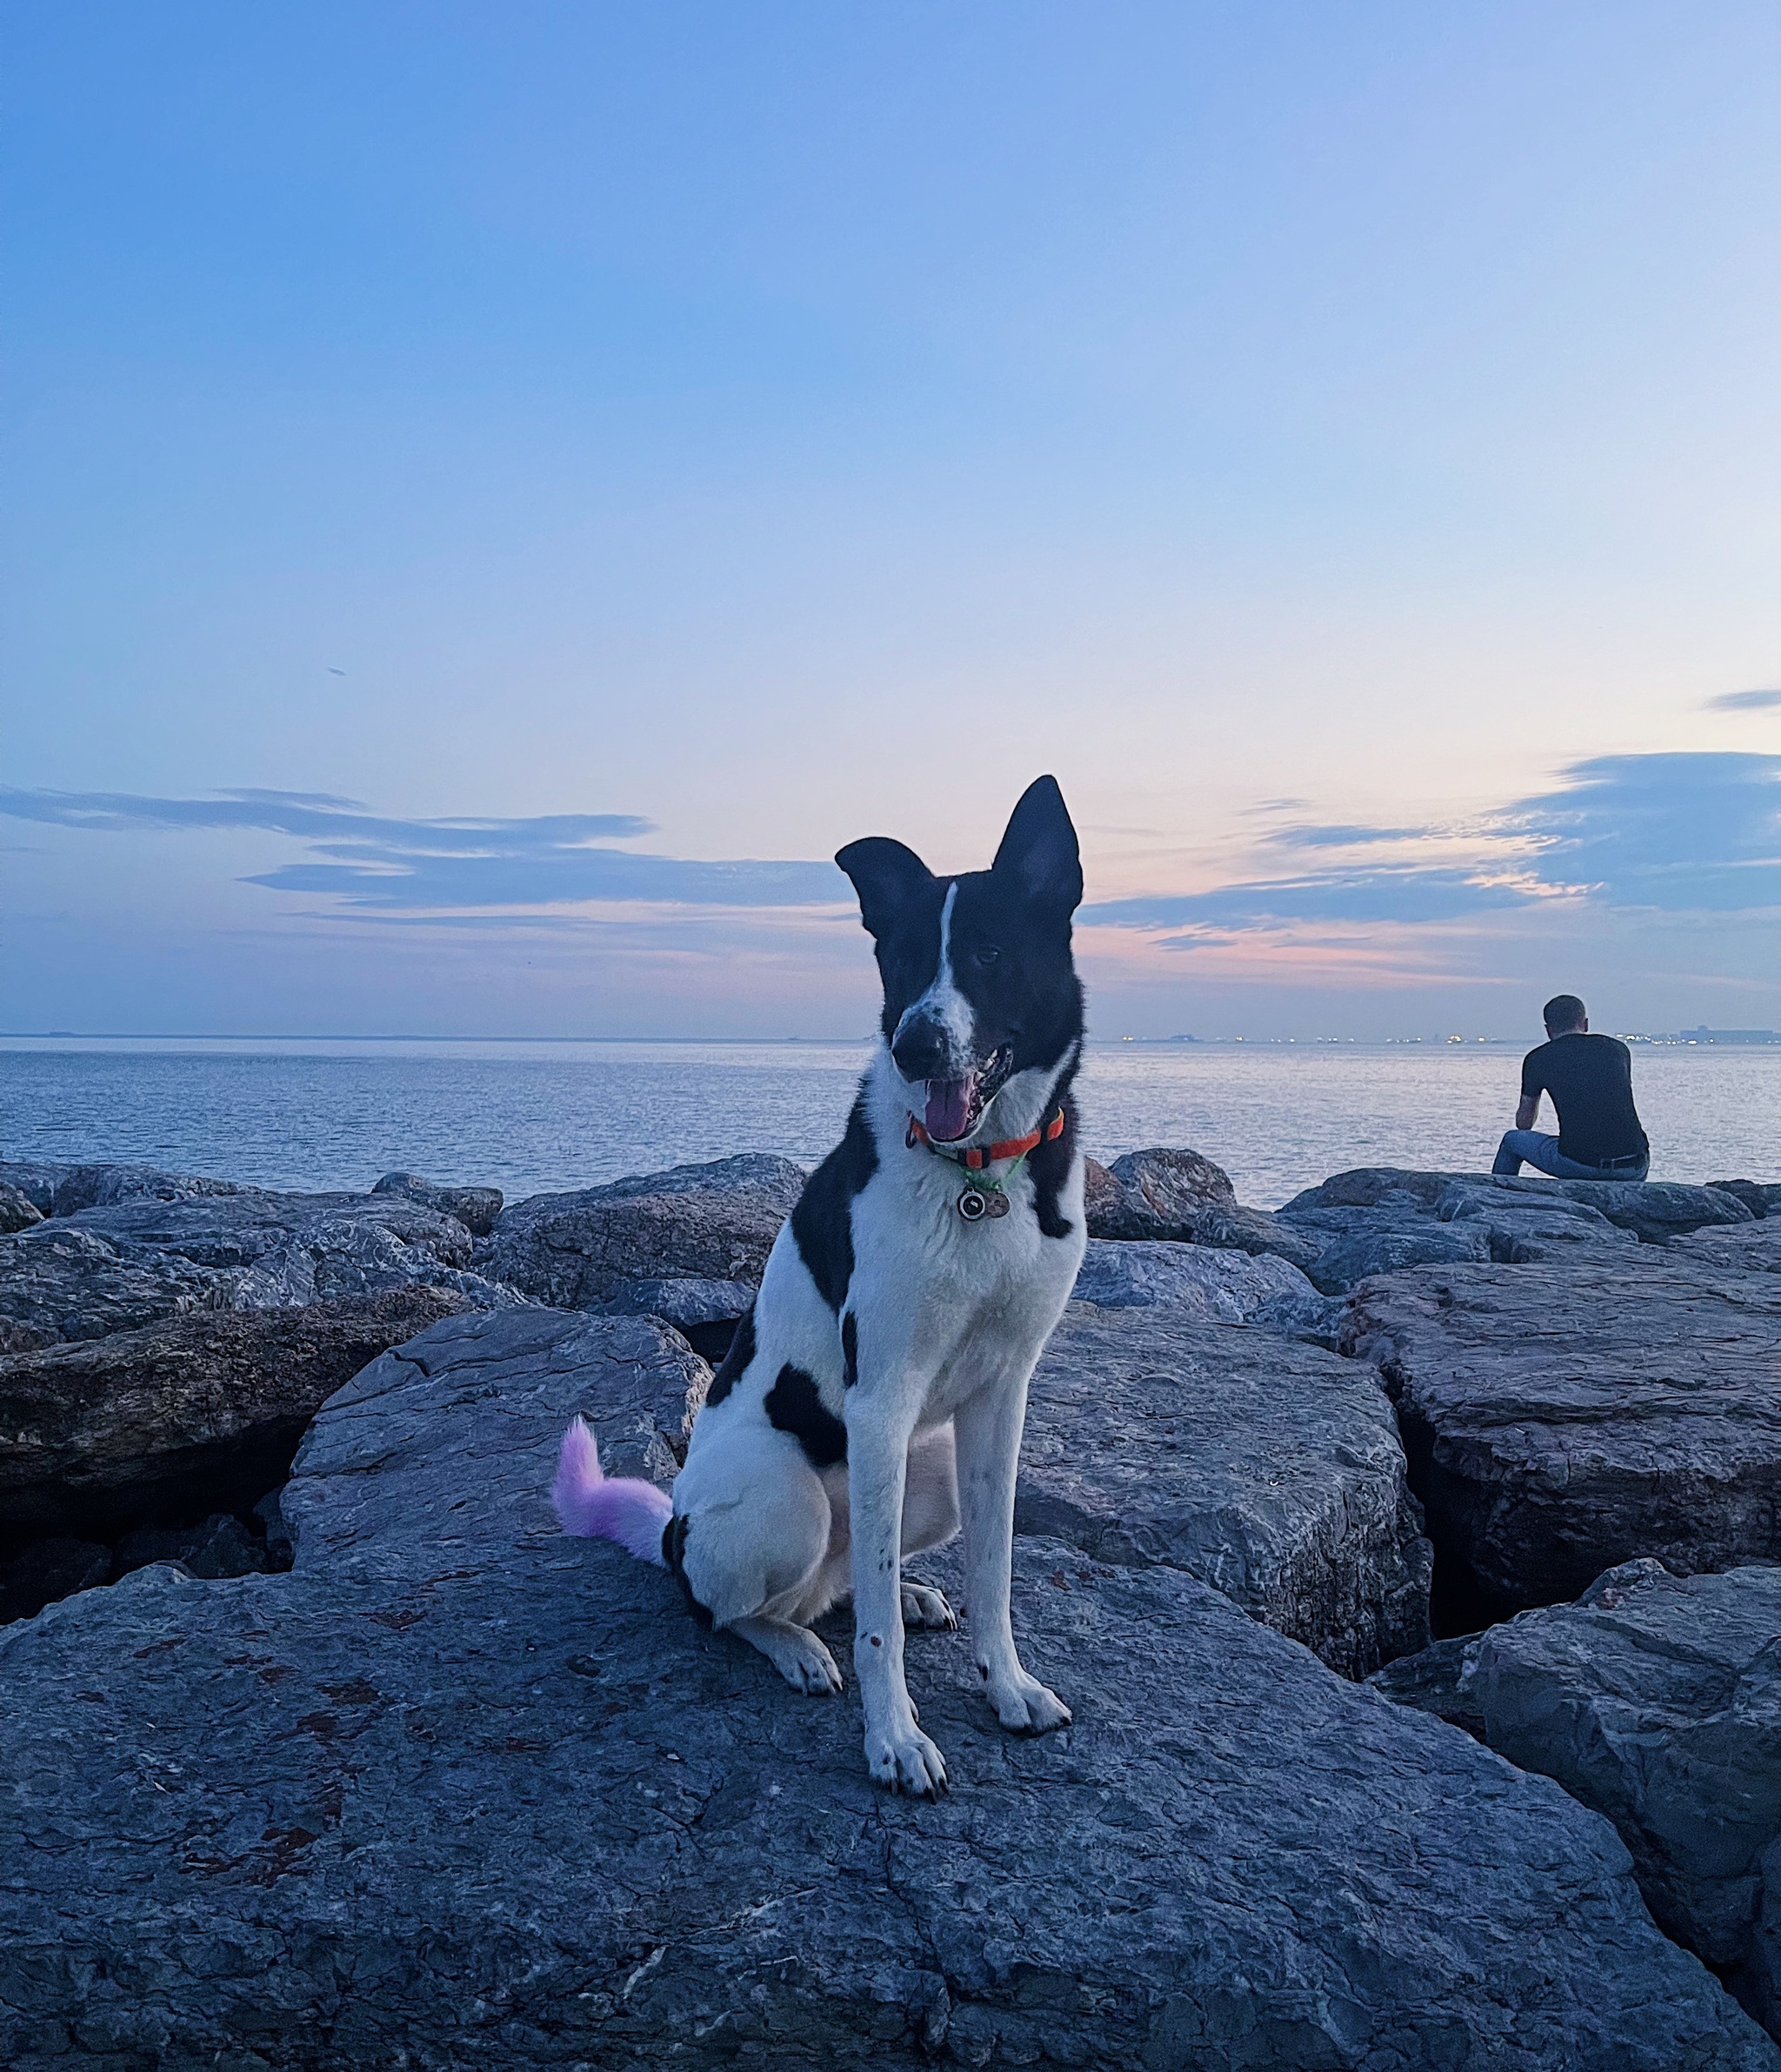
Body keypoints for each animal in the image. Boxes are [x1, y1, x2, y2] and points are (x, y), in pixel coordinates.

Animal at [555, 779, 1086, 1798]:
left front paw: (1005, 1684)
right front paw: (895, 1739)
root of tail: (671, 1529)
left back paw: (902, 1594)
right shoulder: (881, 1399)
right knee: (738, 1609)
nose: (916, 1045)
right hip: (785, 1501)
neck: (981, 1175)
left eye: (990, 953)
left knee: (853, 1584)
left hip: (928, 1469)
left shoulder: (1001, 1399)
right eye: (904, 960)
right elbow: (875, 1642)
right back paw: (795, 1644)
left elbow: (996, 1568)